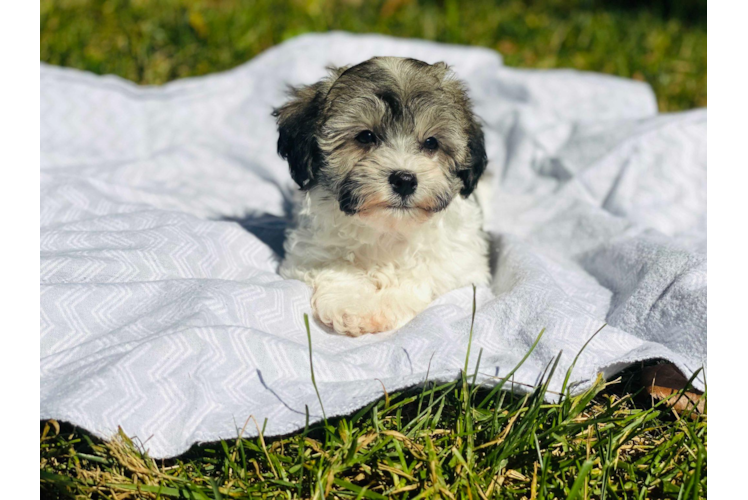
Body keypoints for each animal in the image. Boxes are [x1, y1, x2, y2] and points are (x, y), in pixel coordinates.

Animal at [274, 56, 490, 338]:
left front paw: (382, 306)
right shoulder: (309, 251)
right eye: (366, 136)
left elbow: (421, 276)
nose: (404, 180)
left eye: (431, 142)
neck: (389, 228)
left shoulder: (461, 265)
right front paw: (351, 305)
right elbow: (335, 267)